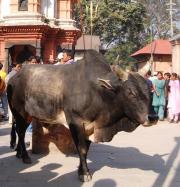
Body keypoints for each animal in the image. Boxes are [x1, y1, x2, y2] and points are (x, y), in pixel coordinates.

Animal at [7, 50, 152, 182]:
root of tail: (13, 78)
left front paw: (80, 170)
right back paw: (25, 156)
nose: (152, 117)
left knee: (18, 130)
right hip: (21, 113)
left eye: (149, 89)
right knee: (21, 132)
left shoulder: (90, 126)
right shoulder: (75, 121)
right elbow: (81, 149)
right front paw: (85, 174)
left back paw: (19, 153)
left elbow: (86, 149)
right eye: (130, 92)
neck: (98, 92)